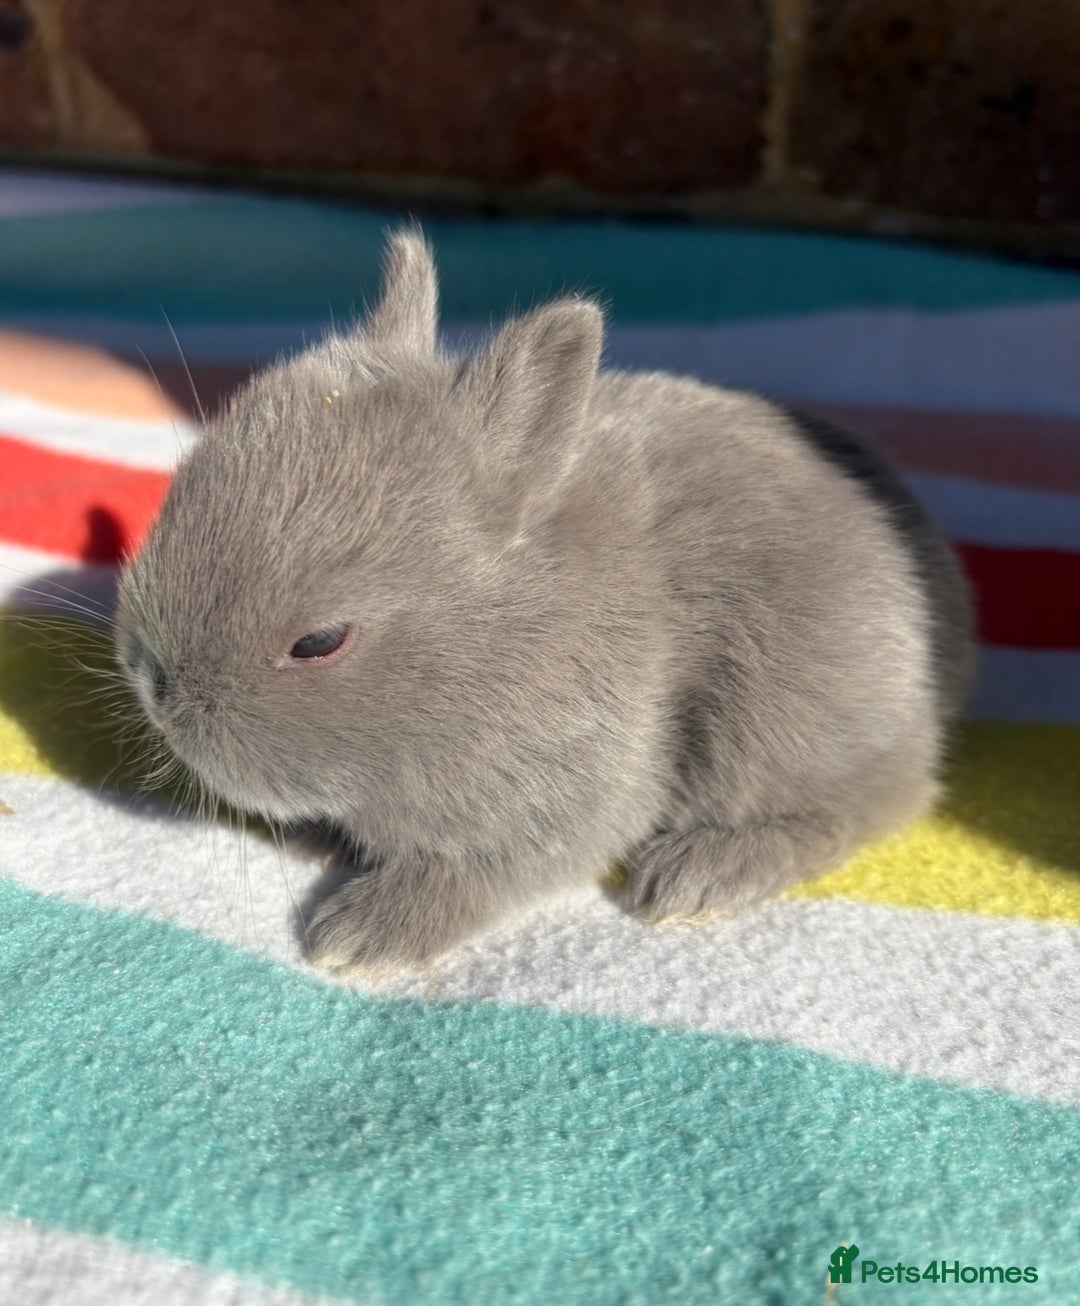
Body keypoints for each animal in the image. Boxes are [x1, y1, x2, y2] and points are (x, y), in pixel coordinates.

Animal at [115, 228, 973, 974]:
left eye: (320, 642)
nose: (154, 685)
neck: (505, 631)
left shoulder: (565, 801)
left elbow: (482, 875)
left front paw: (360, 937)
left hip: (785, 727)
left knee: (862, 806)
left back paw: (699, 875)